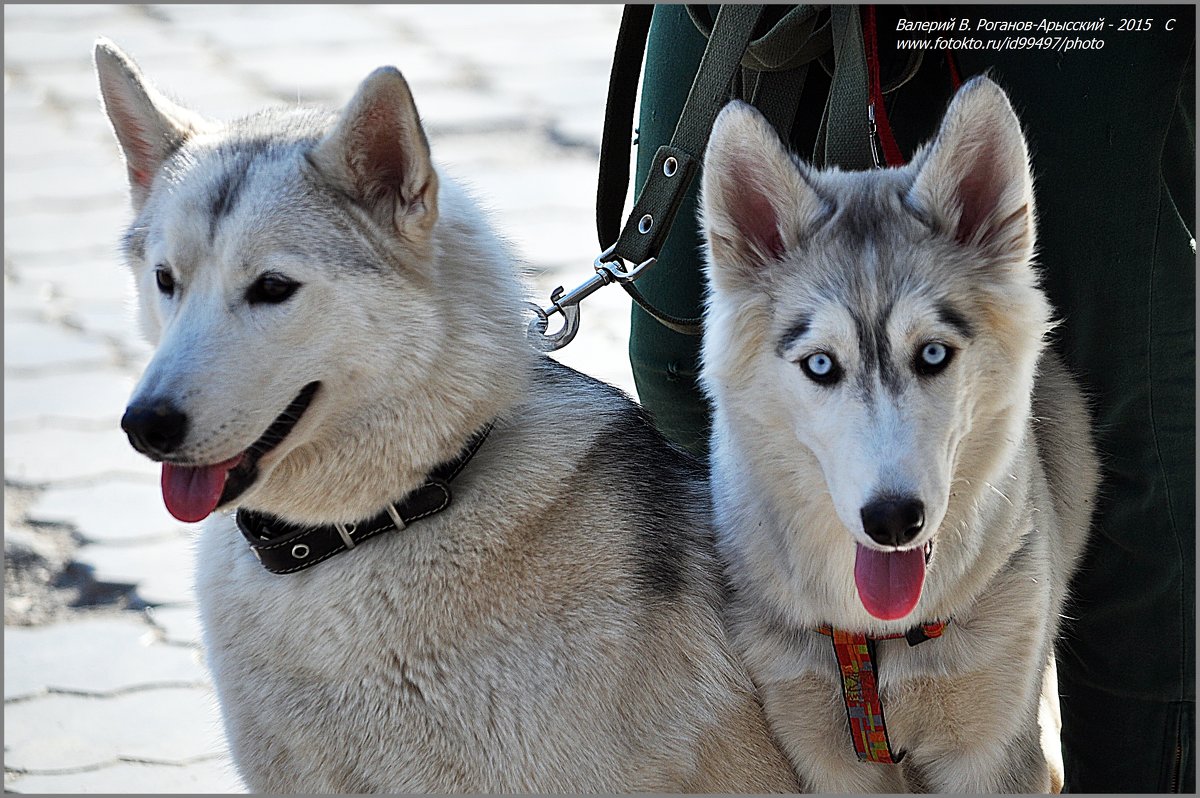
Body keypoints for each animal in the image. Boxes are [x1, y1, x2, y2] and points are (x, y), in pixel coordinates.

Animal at [700, 76, 1099, 792]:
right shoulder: (823, 756)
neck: (879, 638)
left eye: (933, 354)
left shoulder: (992, 753)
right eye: (821, 366)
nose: (892, 520)